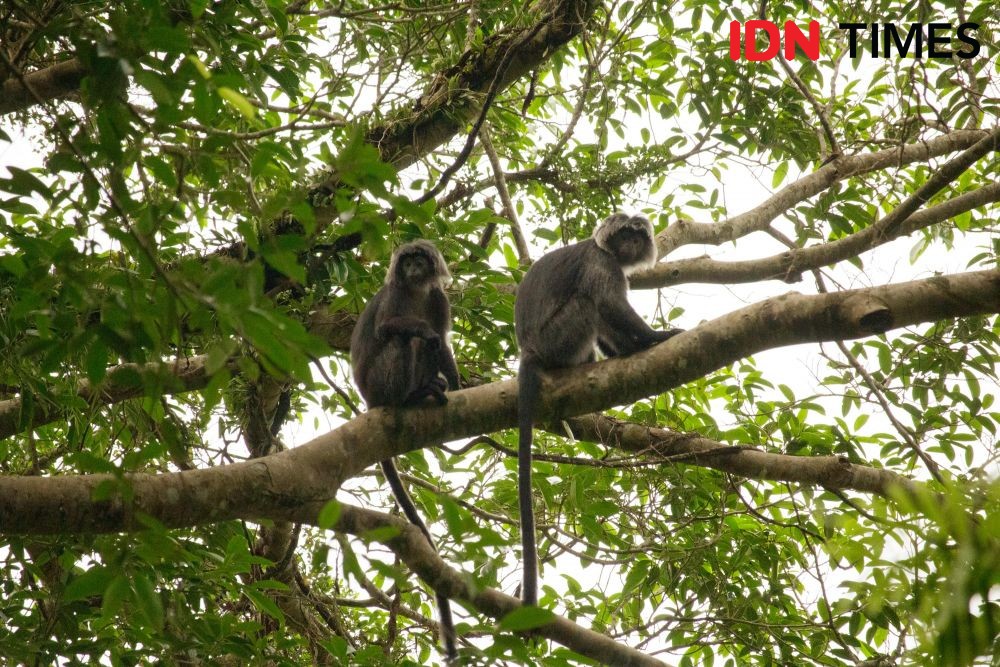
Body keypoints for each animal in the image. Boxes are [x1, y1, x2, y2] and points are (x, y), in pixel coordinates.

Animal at [350, 239, 462, 656]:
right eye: (408, 260)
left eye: (420, 260)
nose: (413, 267)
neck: (414, 290)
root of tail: (368, 400)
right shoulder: (396, 294)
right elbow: (393, 328)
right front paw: (424, 332)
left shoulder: (438, 298)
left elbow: (443, 340)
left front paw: (457, 382)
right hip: (382, 381)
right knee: (409, 339)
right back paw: (413, 395)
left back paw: (431, 388)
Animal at [516, 213, 680, 604]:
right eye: (624, 234)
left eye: (638, 235)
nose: (632, 242)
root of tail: (530, 350)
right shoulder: (601, 264)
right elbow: (608, 303)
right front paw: (656, 338)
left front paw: (635, 347)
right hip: (559, 338)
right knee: (590, 303)